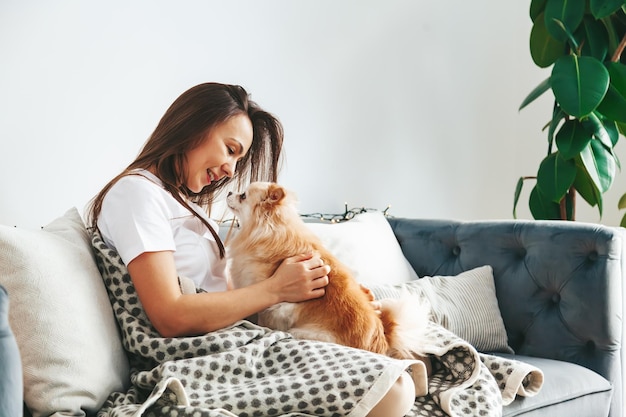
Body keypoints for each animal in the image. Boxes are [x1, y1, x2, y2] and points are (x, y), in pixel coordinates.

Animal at [225, 180, 428, 360]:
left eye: (243, 196)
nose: (229, 192)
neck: (270, 228)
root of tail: (382, 341)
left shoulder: (275, 305)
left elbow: (266, 318)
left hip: (305, 332)